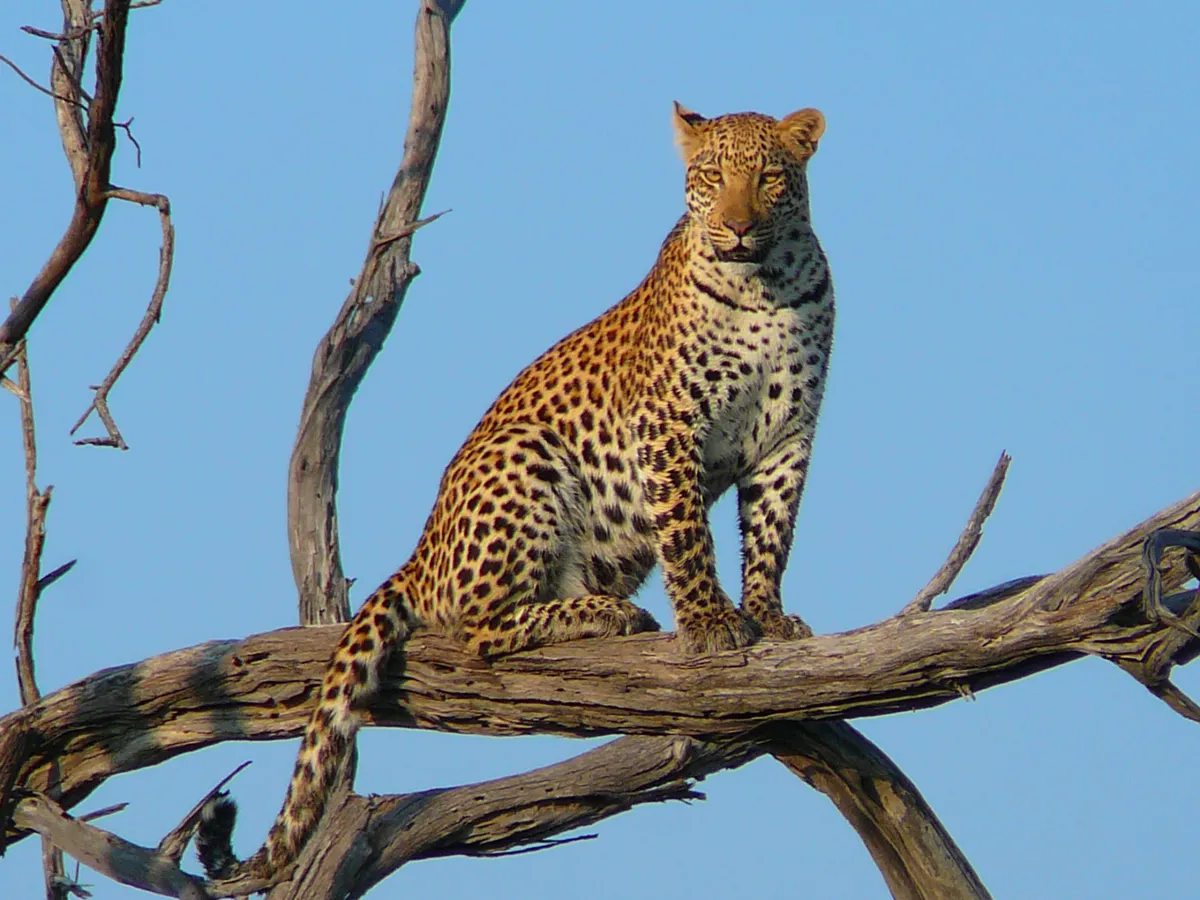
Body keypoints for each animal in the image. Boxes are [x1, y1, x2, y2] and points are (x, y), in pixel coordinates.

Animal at [197, 101, 835, 883]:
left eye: (770, 177)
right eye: (712, 176)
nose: (738, 226)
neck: (764, 286)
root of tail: (420, 553)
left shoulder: (789, 437)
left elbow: (774, 533)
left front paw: (768, 615)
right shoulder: (668, 423)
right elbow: (689, 534)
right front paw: (710, 622)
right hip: (525, 456)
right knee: (478, 628)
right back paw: (606, 615)